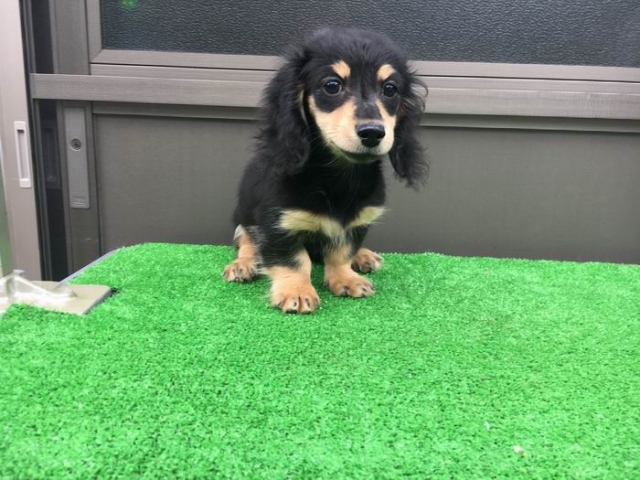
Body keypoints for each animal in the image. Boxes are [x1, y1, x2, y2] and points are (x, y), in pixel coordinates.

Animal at [223, 28, 426, 313]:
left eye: (390, 89)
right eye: (332, 85)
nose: (373, 133)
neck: (338, 178)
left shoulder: (359, 220)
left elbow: (342, 252)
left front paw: (346, 278)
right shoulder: (279, 223)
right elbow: (294, 260)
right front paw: (296, 291)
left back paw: (364, 256)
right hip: (243, 218)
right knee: (247, 242)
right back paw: (243, 265)